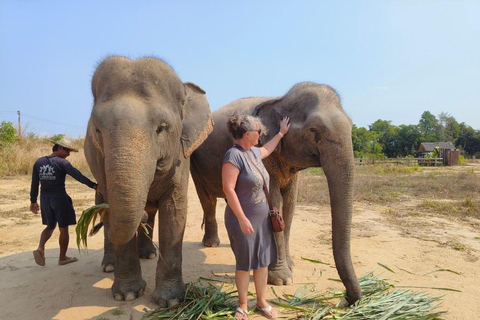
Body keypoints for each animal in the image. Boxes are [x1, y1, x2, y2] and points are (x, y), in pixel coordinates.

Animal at [84, 56, 214, 306]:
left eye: (161, 128)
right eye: (97, 130)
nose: (141, 216)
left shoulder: (181, 157)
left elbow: (174, 211)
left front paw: (170, 301)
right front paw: (127, 295)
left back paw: (148, 252)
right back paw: (110, 265)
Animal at [189, 81, 362, 304]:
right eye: (313, 130)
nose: (346, 299)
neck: (279, 101)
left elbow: (289, 205)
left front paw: (291, 266)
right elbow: (274, 202)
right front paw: (281, 280)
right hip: (194, 162)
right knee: (207, 200)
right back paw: (211, 244)